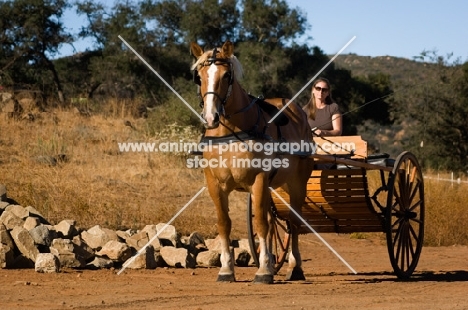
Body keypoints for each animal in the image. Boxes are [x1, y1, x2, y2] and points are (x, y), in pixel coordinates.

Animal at [190, 40, 314, 284]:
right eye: (199, 77)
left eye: (227, 75)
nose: (210, 117)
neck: (231, 133)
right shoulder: (214, 184)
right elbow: (224, 224)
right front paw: (226, 269)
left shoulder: (258, 180)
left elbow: (261, 224)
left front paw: (264, 270)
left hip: (297, 184)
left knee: (294, 222)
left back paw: (295, 266)